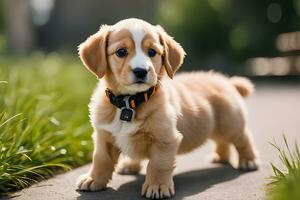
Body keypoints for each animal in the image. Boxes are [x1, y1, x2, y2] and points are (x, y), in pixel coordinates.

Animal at [75, 18, 258, 198]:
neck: (129, 102)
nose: (141, 71)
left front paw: (157, 186)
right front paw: (93, 179)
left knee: (243, 138)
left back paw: (249, 161)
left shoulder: (165, 139)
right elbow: (101, 160)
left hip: (230, 124)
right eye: (121, 52)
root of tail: (227, 81)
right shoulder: (103, 136)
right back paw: (220, 157)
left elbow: (158, 165)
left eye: (152, 52)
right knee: (222, 141)